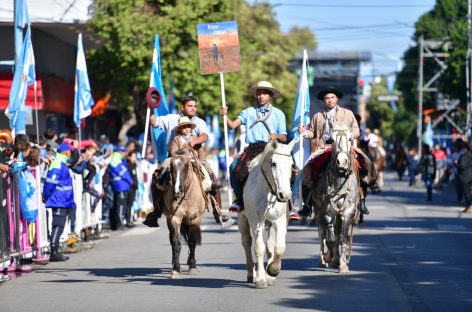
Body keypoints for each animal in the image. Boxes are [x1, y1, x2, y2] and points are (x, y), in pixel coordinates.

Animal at [153, 150, 208, 280]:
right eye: (171, 166)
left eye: (186, 166)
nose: (177, 191)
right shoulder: (175, 218)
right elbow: (176, 243)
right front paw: (176, 270)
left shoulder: (194, 219)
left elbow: (192, 242)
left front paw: (192, 267)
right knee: (172, 239)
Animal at [310, 123, 362, 274]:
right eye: (332, 140)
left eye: (350, 138)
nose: (342, 162)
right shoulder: (327, 210)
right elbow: (330, 238)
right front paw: (329, 256)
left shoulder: (348, 211)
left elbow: (343, 237)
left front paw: (343, 264)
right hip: (318, 208)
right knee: (322, 232)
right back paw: (324, 260)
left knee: (337, 232)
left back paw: (335, 259)